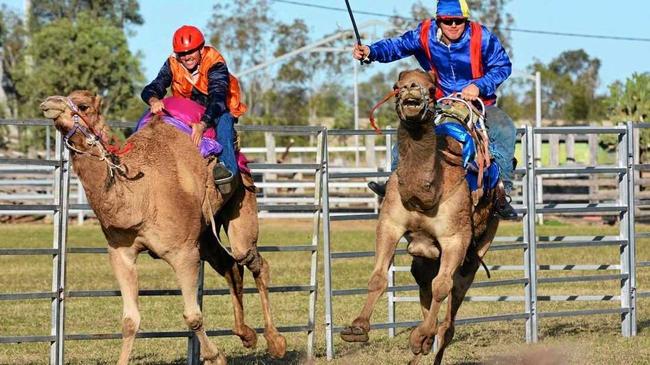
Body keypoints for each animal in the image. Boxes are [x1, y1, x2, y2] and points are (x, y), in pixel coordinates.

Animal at [39, 91, 284, 364]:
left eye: (83, 106)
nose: (48, 103)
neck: (139, 197)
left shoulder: (183, 252)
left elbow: (193, 316)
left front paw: (215, 357)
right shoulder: (120, 253)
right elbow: (129, 321)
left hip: (243, 198)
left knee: (253, 260)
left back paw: (276, 342)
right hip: (205, 235)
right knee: (231, 265)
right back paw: (246, 335)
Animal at [340, 69, 496, 362]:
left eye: (431, 88)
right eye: (396, 85)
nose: (411, 88)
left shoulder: (455, 239)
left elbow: (442, 287)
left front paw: (422, 335)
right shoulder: (390, 225)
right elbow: (378, 277)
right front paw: (357, 327)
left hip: (475, 252)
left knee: (451, 308)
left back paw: (427, 340)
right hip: (425, 258)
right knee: (425, 283)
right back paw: (422, 343)